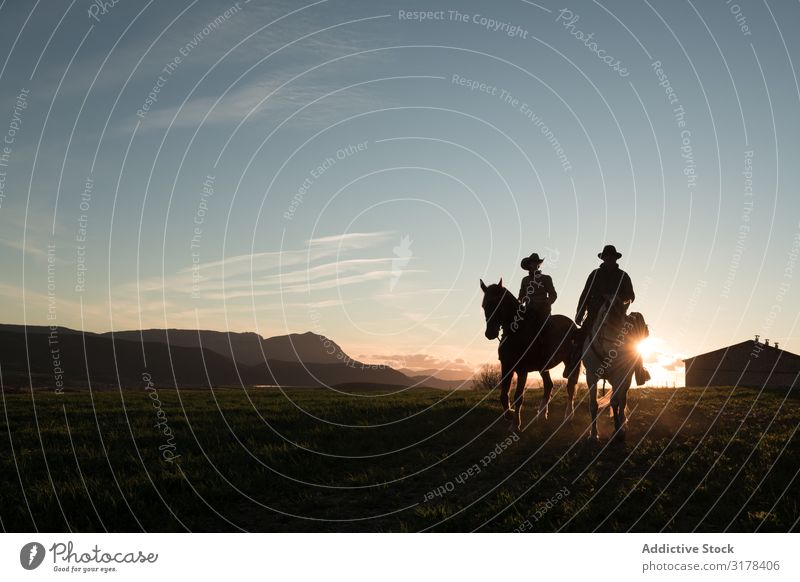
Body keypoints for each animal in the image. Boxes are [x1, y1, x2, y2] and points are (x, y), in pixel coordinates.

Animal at [478, 280, 580, 432]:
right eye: (484, 305)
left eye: (498, 304)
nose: (490, 333)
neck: (516, 331)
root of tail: (573, 325)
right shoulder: (506, 367)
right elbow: (503, 395)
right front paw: (509, 415)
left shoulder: (522, 370)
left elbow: (518, 397)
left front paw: (515, 424)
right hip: (544, 367)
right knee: (548, 386)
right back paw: (541, 416)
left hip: (570, 361)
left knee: (571, 387)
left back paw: (568, 417)